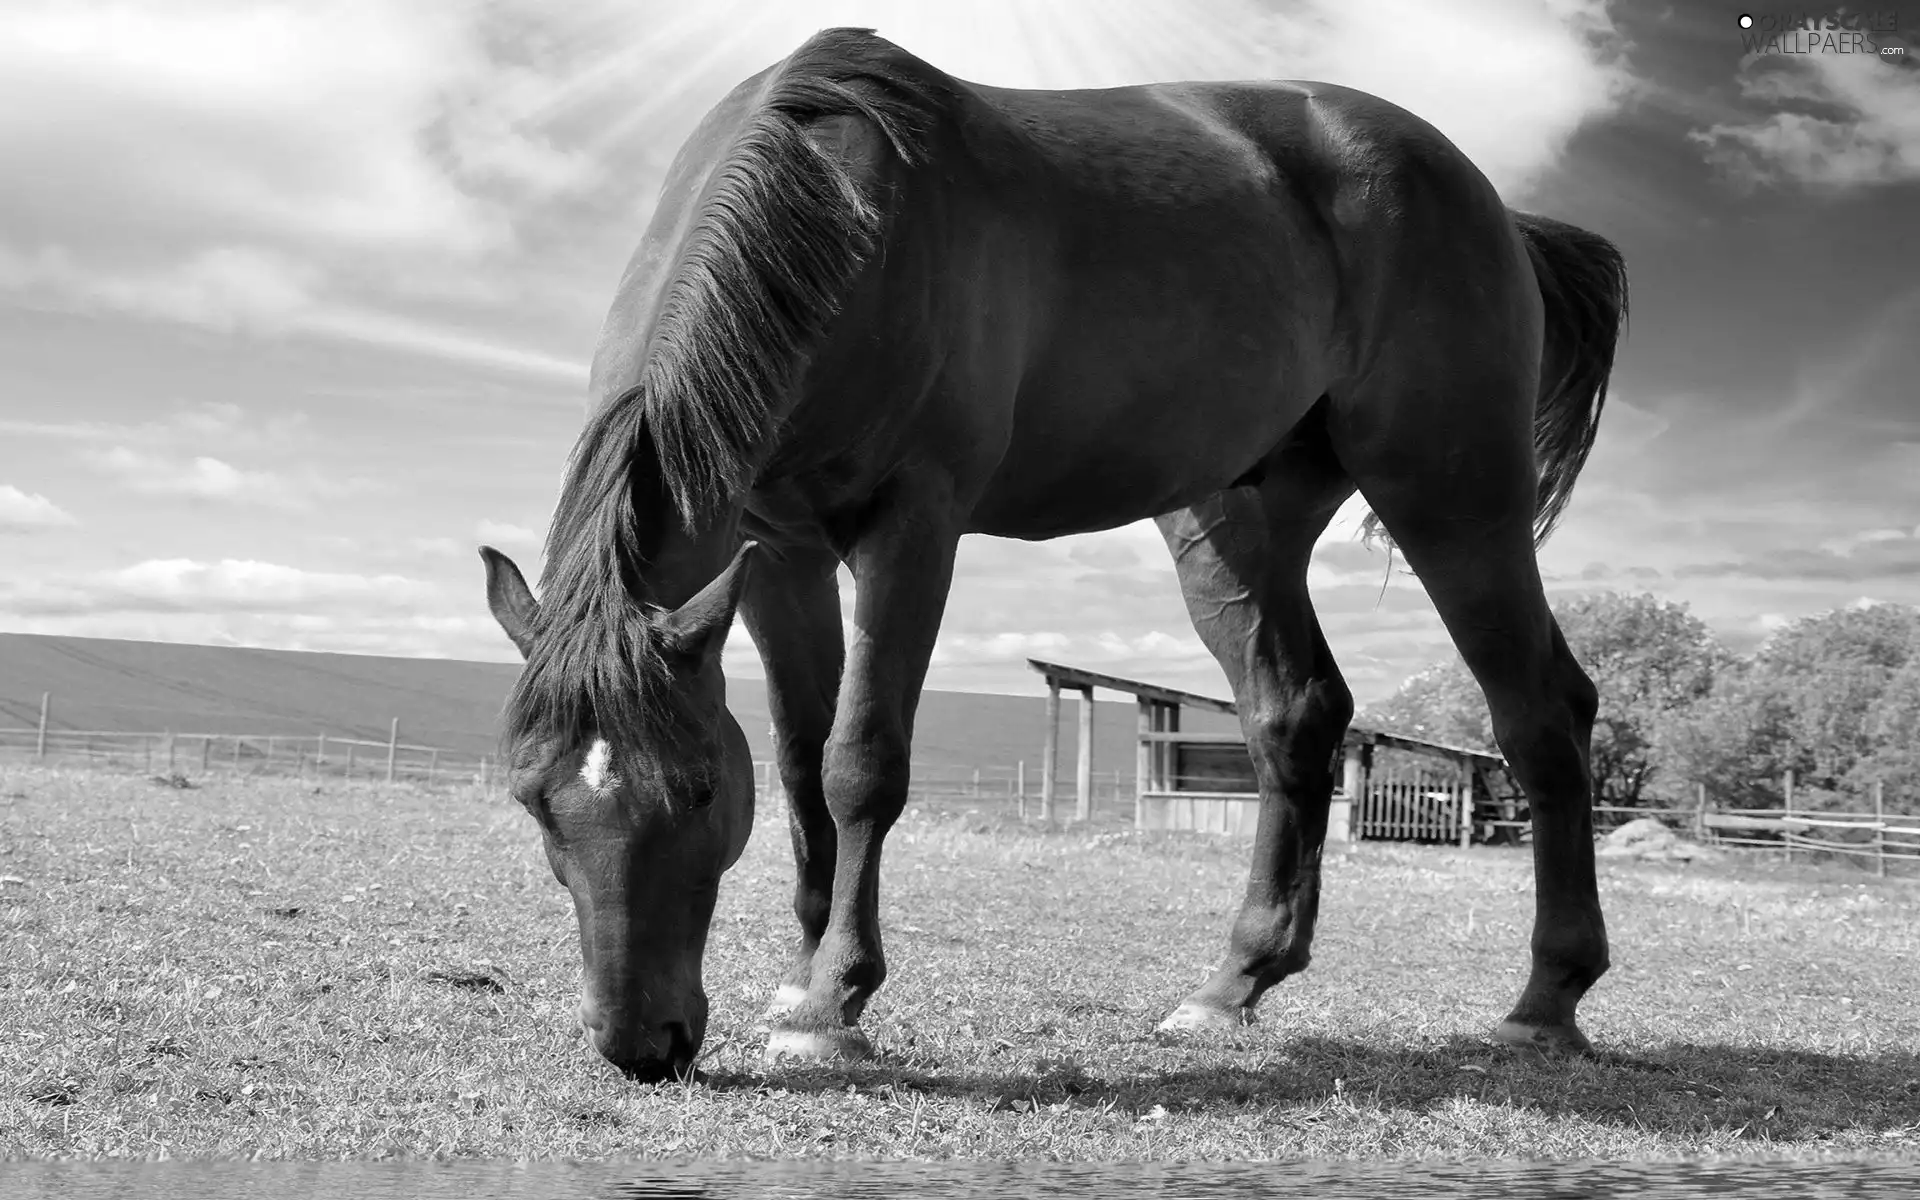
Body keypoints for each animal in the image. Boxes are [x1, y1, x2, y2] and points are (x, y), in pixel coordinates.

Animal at [483, 25, 1635, 1075]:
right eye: (535, 801)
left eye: (698, 792)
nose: (642, 1043)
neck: (848, 222)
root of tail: (1493, 207)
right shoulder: (777, 550)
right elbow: (805, 768)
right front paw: (803, 974)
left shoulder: (913, 527)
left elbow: (862, 763)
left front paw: (831, 1004)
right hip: (1239, 524)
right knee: (1296, 716)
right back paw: (1233, 986)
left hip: (1453, 498)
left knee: (1542, 714)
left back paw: (1546, 1002)